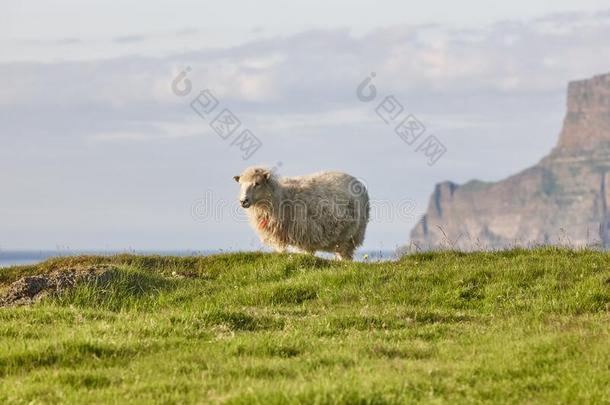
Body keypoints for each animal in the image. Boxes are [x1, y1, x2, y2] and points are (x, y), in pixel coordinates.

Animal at [232, 166, 366, 258]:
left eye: (257, 183)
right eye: (240, 184)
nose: (243, 201)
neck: (281, 198)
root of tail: (357, 181)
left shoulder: (304, 233)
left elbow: (306, 252)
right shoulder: (280, 236)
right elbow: (281, 251)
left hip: (351, 236)